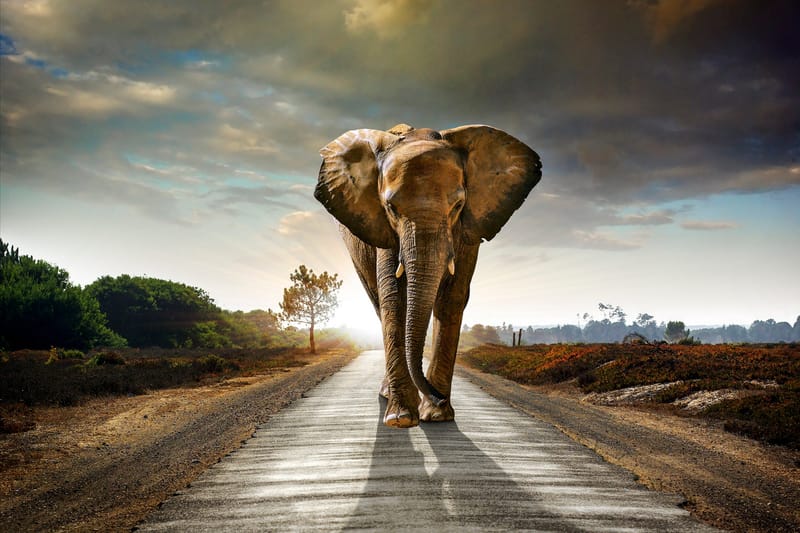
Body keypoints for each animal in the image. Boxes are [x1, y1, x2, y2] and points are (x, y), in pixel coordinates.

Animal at [315, 123, 541, 428]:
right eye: (391, 208)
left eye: (458, 206)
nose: (439, 397)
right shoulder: (384, 230)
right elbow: (394, 298)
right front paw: (401, 418)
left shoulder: (467, 230)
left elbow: (452, 298)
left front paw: (436, 416)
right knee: (378, 303)